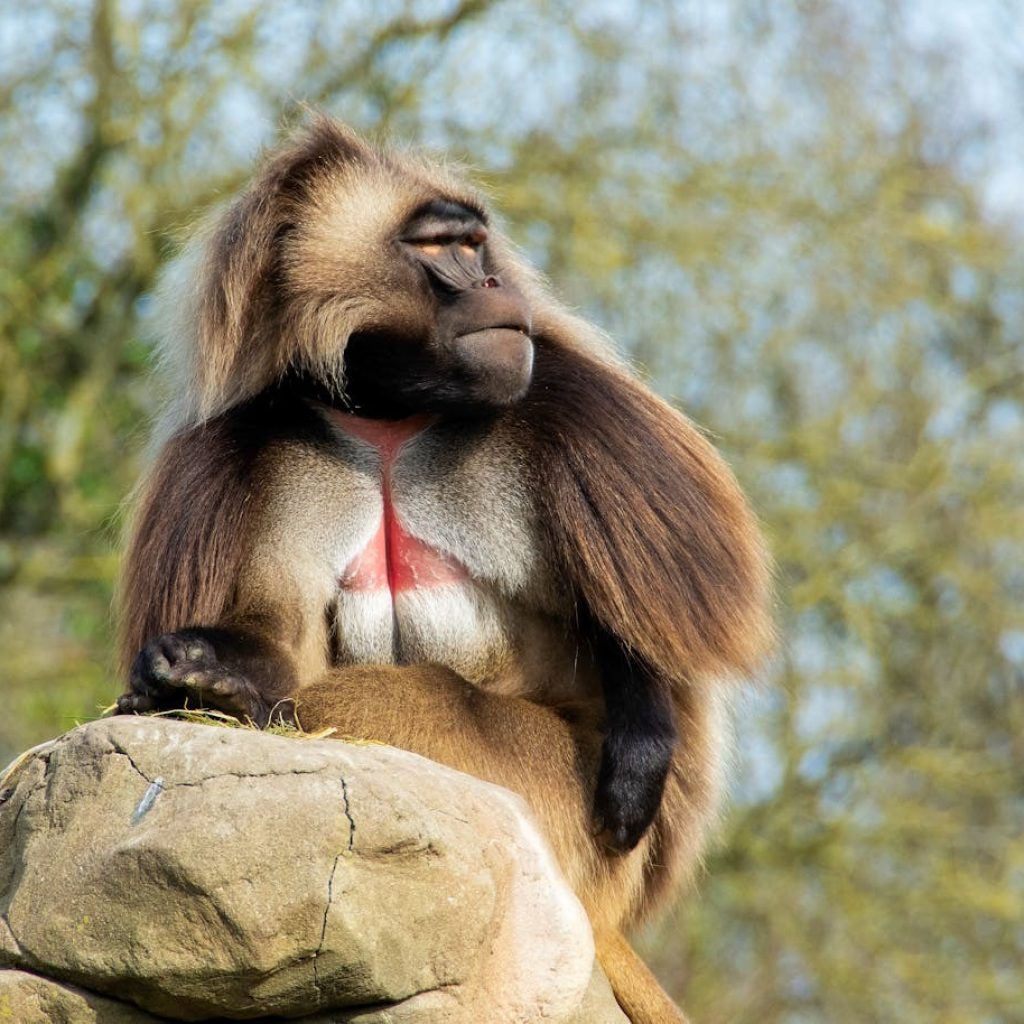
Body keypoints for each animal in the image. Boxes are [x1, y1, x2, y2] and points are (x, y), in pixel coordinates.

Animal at [115, 117, 772, 1024]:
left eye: (474, 241)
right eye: (440, 247)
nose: (494, 283)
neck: (390, 409)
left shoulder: (574, 403)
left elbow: (634, 634)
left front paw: (644, 738)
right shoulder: (240, 450)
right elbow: (271, 626)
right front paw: (199, 667)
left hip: (557, 824)